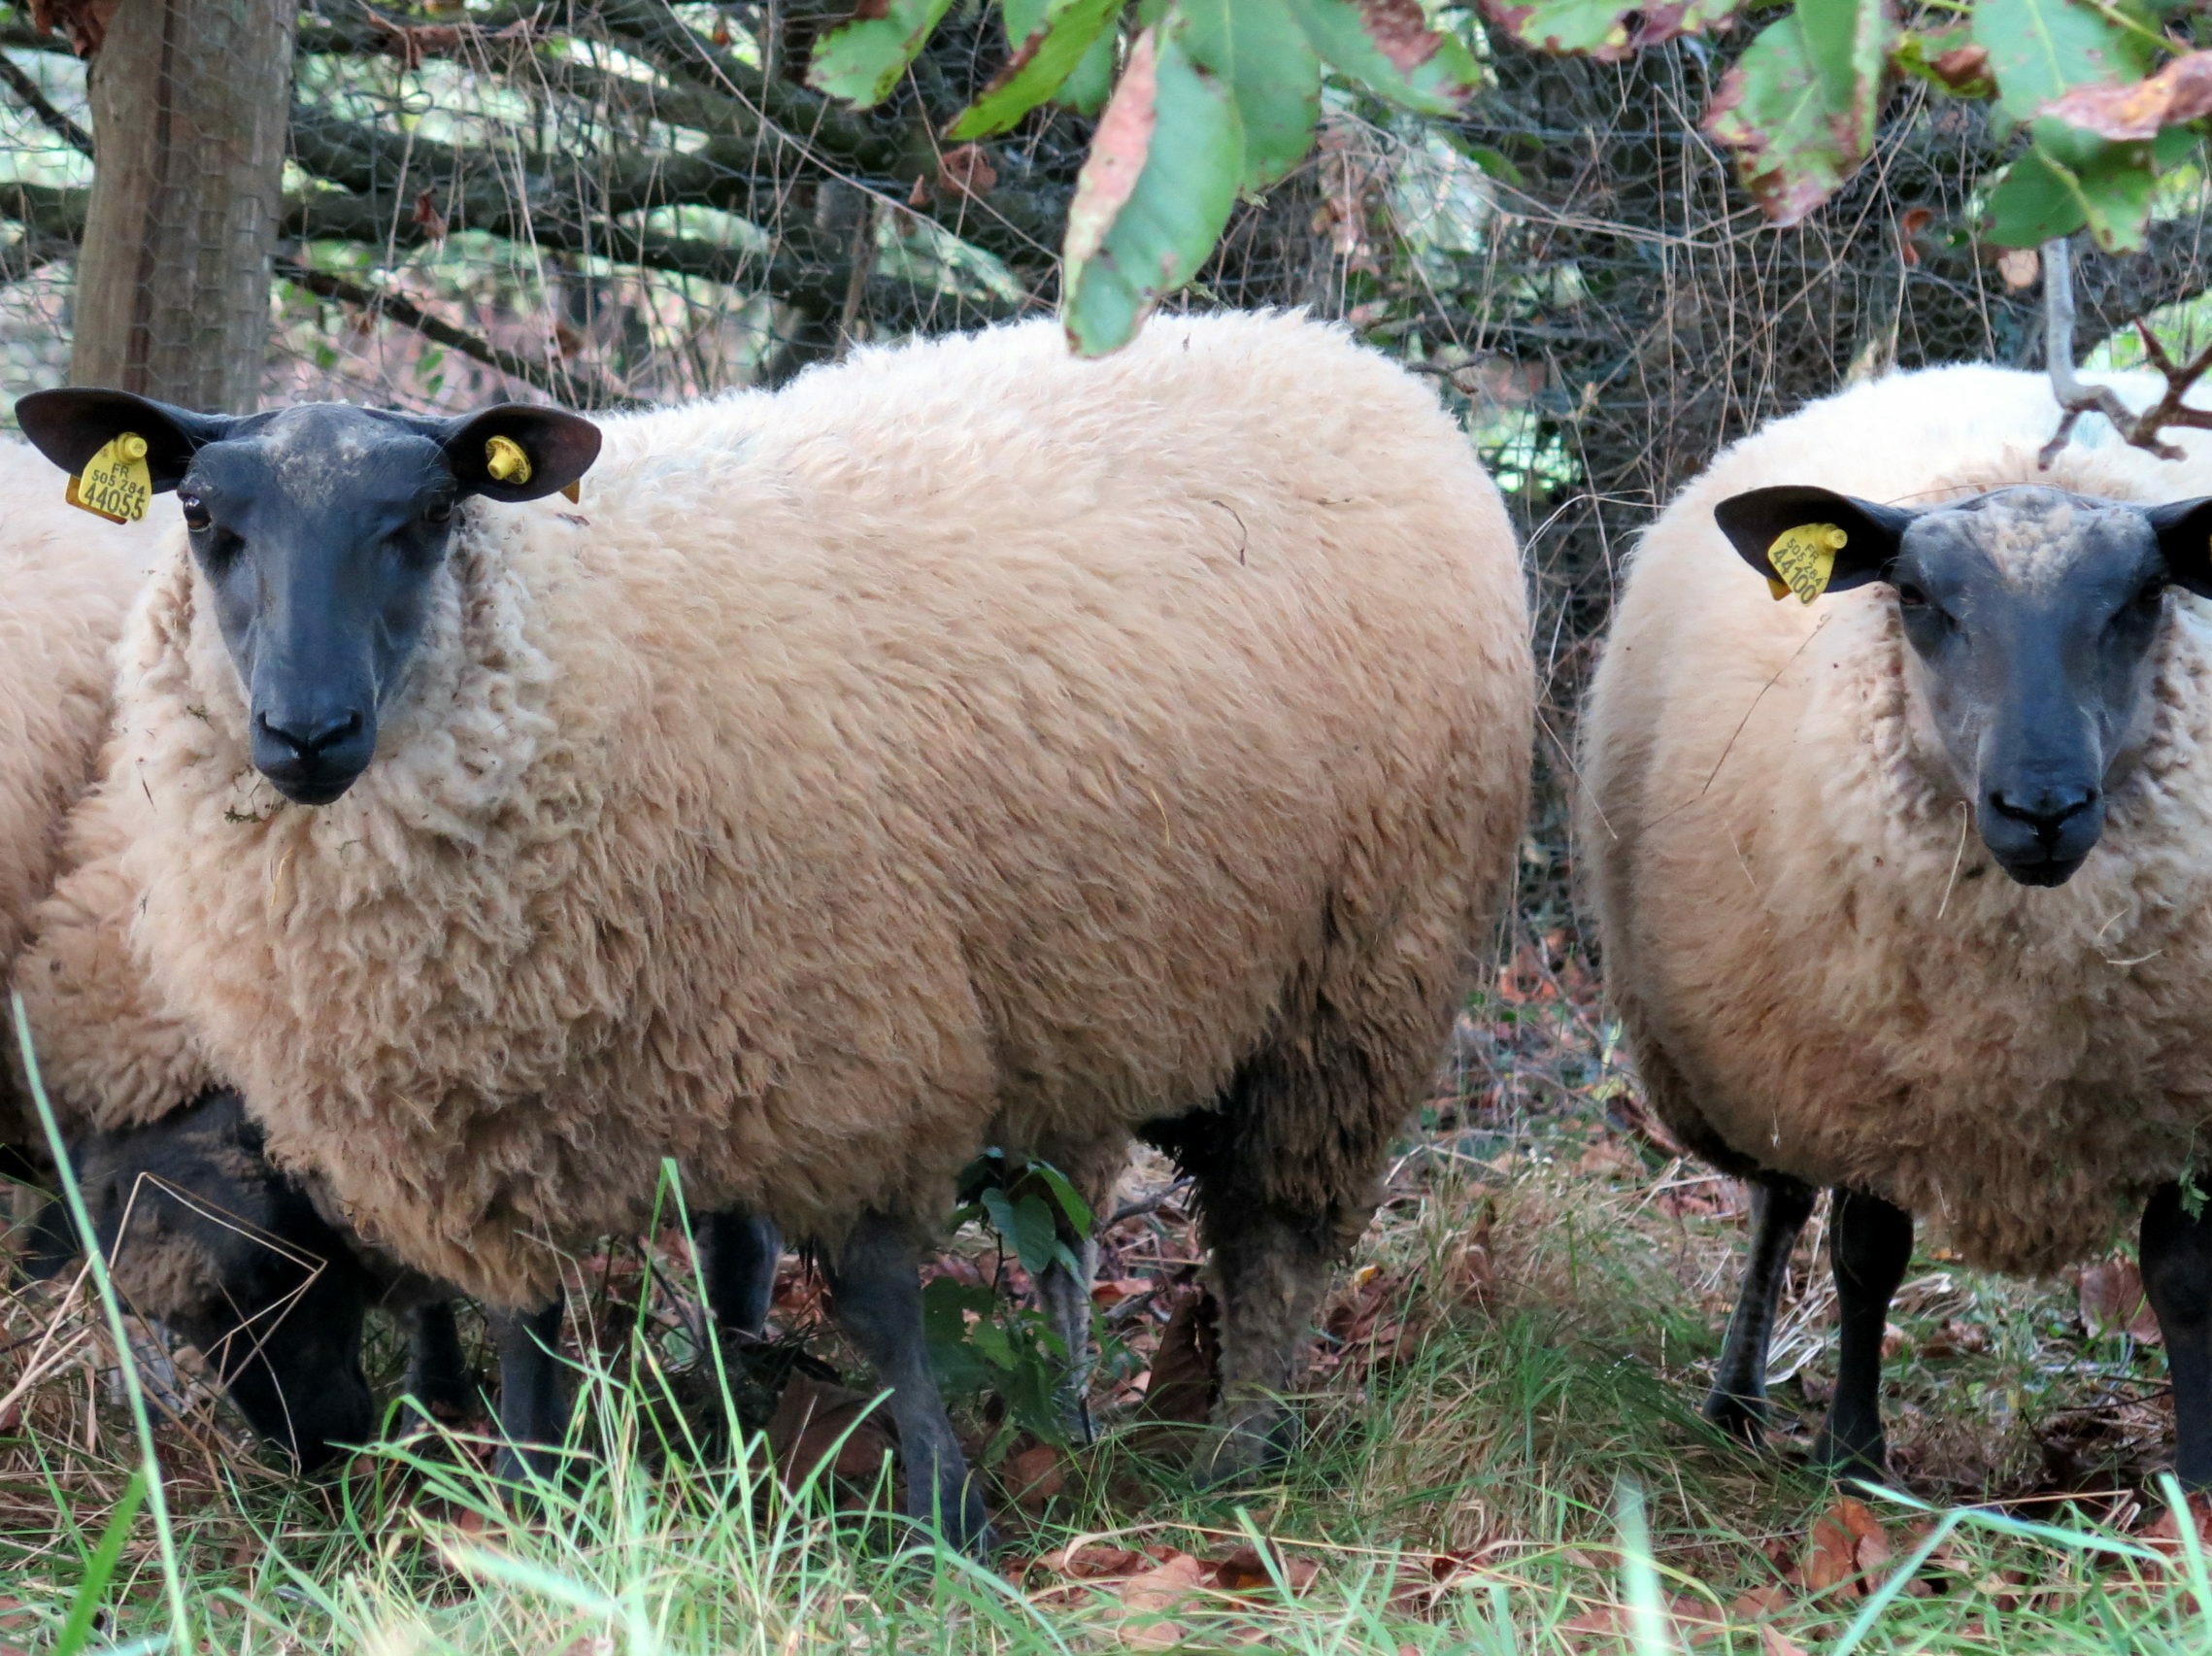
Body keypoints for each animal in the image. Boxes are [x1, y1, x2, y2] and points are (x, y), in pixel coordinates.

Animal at [16, 310, 1532, 1545]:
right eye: (203, 514)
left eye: (428, 515)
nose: (306, 732)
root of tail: (1352, 357)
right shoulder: (502, 1095)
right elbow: (541, 1314)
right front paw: (538, 1499)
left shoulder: (840, 1039)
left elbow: (876, 1296)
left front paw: (941, 1521)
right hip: (1106, 970)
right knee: (1070, 1224)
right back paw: (1084, 1423)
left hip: (1360, 977)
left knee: (1279, 1234)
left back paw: (1235, 1460)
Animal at [1576, 362, 2212, 1486]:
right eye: (1915, 597)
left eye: (2147, 597)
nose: (2041, 805)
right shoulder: (1867, 1075)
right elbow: (1868, 1254)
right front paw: (1853, 1456)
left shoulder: (2178, 1091)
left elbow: (2178, 1275)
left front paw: (2197, 1479)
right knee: (1781, 1203)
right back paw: (1736, 1399)